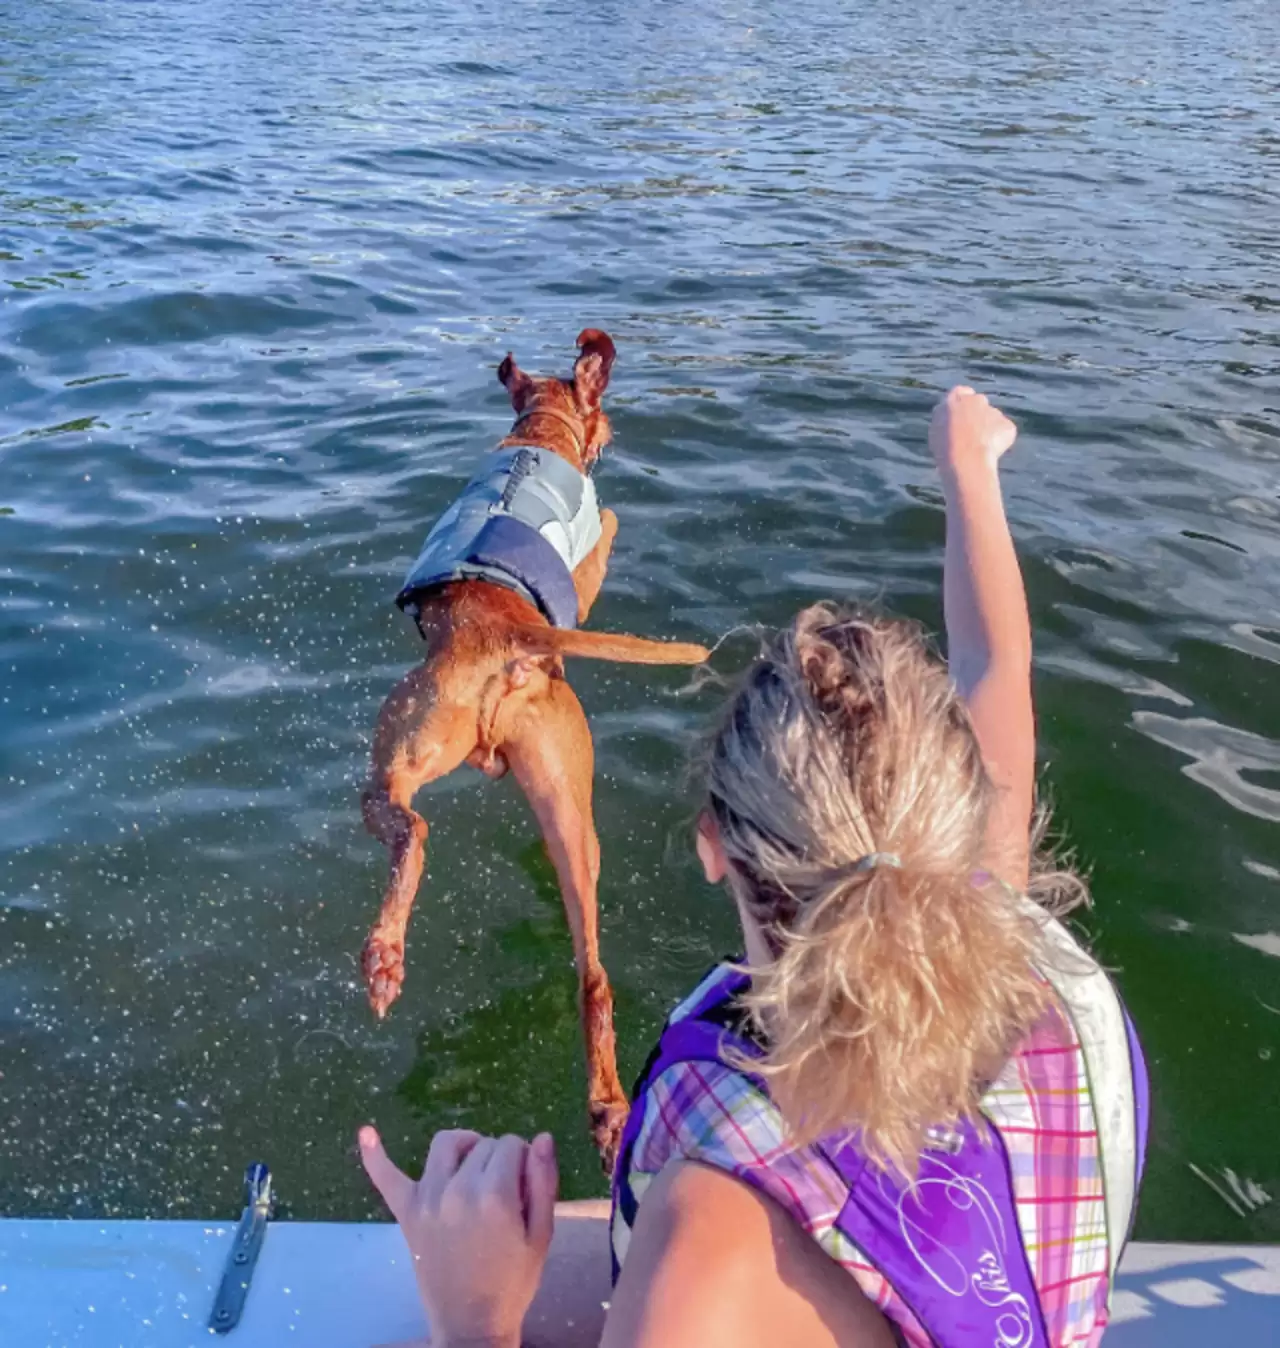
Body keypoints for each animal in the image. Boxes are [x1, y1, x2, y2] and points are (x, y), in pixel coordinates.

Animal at [361, 328, 711, 1170]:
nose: (610, 436)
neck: (539, 433)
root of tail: (501, 636)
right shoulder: (594, 551)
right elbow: (609, 521)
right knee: (587, 968)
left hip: (442, 757)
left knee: (411, 828)